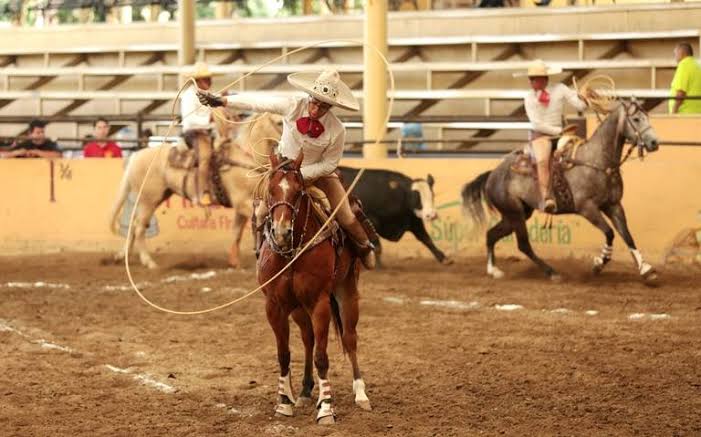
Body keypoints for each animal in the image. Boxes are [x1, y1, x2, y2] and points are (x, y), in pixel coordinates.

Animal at [109, 111, 282, 270]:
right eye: (280, 122)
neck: (245, 156)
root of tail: (135, 156)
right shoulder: (241, 202)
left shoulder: (245, 204)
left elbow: (237, 232)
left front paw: (234, 262)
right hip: (148, 200)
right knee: (139, 228)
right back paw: (149, 262)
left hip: (155, 198)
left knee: (133, 226)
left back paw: (121, 256)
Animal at [254, 152, 370, 422]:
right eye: (271, 190)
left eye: (299, 191)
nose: (281, 233)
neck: (292, 252)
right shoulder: (274, 305)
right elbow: (284, 354)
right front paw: (284, 402)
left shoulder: (320, 303)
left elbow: (322, 356)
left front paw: (326, 407)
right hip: (298, 307)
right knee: (307, 338)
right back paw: (305, 390)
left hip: (347, 291)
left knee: (349, 339)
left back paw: (360, 393)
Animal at [462, 99, 660, 282]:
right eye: (636, 119)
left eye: (647, 117)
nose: (654, 142)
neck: (597, 162)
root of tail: (492, 175)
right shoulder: (587, 208)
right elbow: (610, 233)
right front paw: (598, 263)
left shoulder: (614, 205)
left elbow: (627, 236)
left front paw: (646, 270)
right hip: (515, 214)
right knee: (523, 245)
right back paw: (552, 272)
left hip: (516, 214)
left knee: (491, 235)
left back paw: (494, 270)